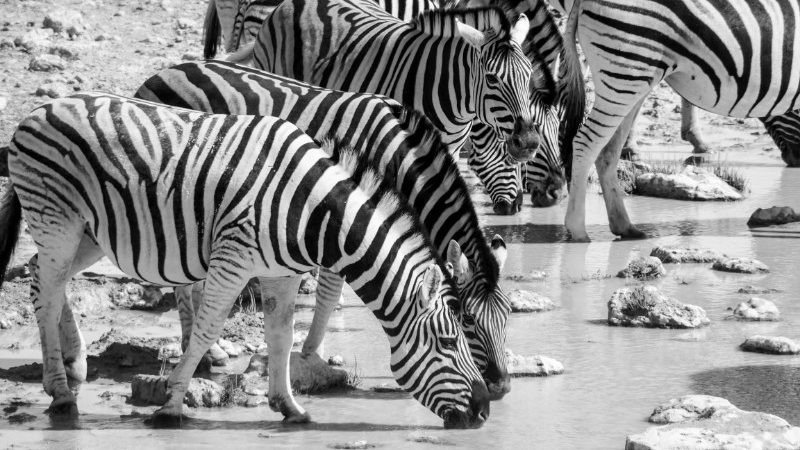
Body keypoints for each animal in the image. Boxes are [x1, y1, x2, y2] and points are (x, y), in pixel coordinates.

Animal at [0, 92, 491, 428]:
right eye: (451, 343)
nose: (486, 410)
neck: (311, 212)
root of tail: (35, 112)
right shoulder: (232, 258)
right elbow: (207, 328)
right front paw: (171, 405)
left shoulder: (282, 273)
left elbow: (282, 335)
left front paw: (289, 407)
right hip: (58, 220)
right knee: (46, 293)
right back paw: (62, 394)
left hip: (88, 233)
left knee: (43, 277)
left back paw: (71, 367)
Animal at [135, 60, 513, 397]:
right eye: (467, 321)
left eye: (507, 316)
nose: (502, 387)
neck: (398, 157)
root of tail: (163, 72)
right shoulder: (346, 211)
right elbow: (330, 293)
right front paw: (311, 354)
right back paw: (203, 350)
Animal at [561, 0, 800, 241]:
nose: (794, 159)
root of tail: (584, 1)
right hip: (626, 69)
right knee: (585, 143)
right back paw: (577, 230)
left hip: (634, 78)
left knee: (606, 152)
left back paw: (625, 227)